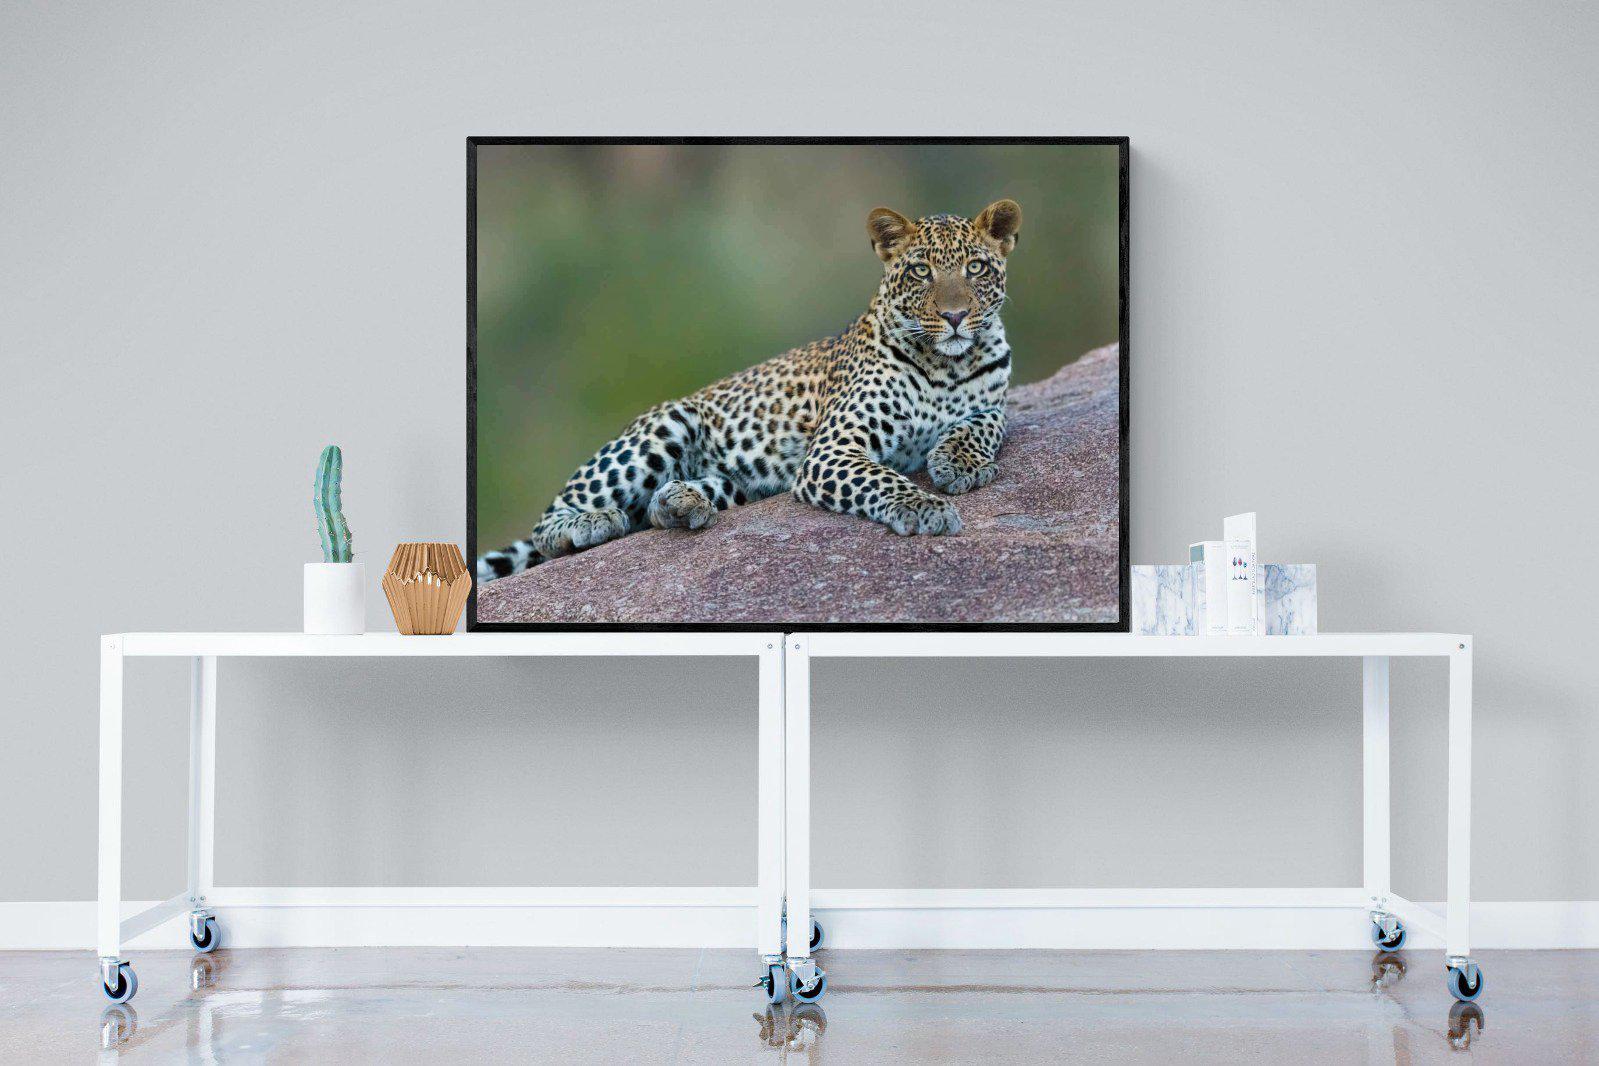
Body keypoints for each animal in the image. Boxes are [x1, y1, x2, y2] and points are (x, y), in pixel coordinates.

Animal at [477, 198, 1021, 584]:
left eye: (975, 268)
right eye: (920, 271)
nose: (955, 316)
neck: (948, 364)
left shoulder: (995, 403)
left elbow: (983, 425)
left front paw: (959, 463)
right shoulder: (833, 450)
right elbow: (884, 479)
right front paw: (926, 507)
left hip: (739, 482)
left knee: (657, 508)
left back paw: (681, 503)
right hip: (664, 426)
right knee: (550, 523)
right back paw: (591, 523)